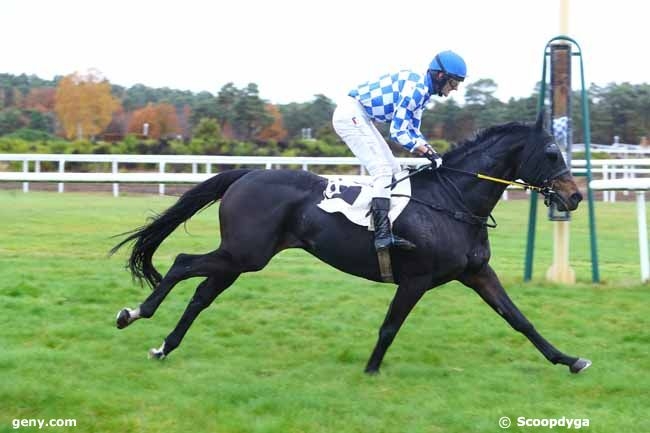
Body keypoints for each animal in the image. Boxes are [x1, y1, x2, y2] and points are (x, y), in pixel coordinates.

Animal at [111, 115, 588, 374]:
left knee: (201, 295)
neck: (452, 200)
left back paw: (164, 346)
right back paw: (133, 313)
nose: (575, 196)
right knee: (181, 262)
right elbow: (390, 326)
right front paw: (372, 368)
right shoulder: (416, 280)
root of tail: (245, 174)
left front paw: (569, 359)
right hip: (244, 253)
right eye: (551, 152)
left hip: (242, 259)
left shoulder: (476, 273)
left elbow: (520, 320)